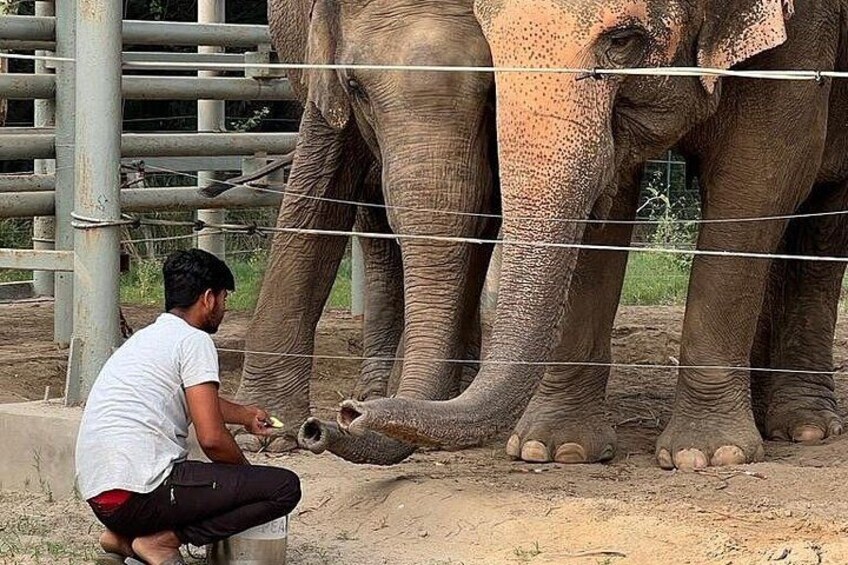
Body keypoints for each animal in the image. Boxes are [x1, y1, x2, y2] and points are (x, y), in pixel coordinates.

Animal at [235, 0, 501, 464]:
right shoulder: (326, 76)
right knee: (372, 219)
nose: (327, 423)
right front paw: (262, 434)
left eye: (491, 90)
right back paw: (376, 391)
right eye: (356, 85)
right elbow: (316, 195)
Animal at [337, 0, 848, 471]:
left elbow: (762, 176)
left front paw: (707, 455)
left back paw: (804, 428)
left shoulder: (806, 33)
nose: (347, 413)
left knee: (821, 224)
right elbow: (608, 198)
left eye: (622, 41)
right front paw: (555, 449)